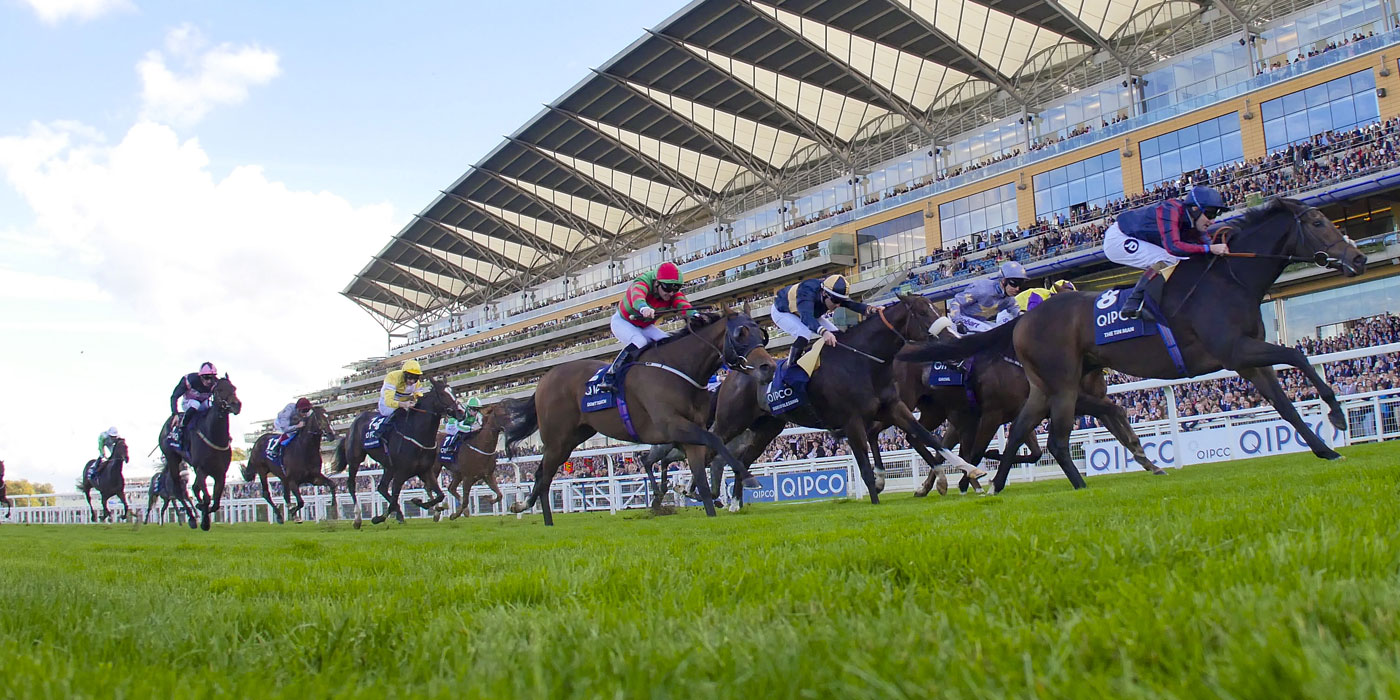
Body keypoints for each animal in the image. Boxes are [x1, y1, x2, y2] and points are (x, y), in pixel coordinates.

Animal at [157, 378, 242, 529]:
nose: (236, 405)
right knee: (179, 490)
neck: (213, 435)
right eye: (219, 390)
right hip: (173, 459)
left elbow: (215, 502)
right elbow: (207, 498)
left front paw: (203, 512)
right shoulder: (201, 469)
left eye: (234, 388)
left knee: (194, 488)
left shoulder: (220, 473)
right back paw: (191, 518)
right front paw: (204, 519)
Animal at [331, 378, 464, 526]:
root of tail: (352, 425)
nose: (461, 412)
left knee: (382, 487)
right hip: (355, 459)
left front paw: (421, 503)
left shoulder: (425, 470)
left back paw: (400, 515)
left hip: (388, 467)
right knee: (351, 484)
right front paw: (379, 517)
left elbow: (440, 495)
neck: (416, 434)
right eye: (442, 394)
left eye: (453, 392)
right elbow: (395, 497)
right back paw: (358, 518)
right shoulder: (401, 472)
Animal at [501, 306, 772, 526]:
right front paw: (748, 477)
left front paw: (705, 505)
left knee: (541, 475)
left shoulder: (690, 433)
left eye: (762, 334)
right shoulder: (673, 427)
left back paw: (524, 506)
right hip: (557, 440)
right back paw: (545, 520)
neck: (680, 369)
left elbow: (703, 480)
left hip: (571, 439)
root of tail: (543, 380)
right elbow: (715, 442)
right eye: (740, 334)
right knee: (545, 478)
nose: (767, 367)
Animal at [896, 197, 1366, 492]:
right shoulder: (1235, 351)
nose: (1359, 258)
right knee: (1049, 441)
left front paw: (1326, 449)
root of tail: (1025, 321)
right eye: (1319, 223)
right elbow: (1298, 354)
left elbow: (1285, 404)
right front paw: (1337, 415)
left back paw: (990, 484)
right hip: (1057, 386)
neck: (1227, 281)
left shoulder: (1248, 360)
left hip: (1044, 387)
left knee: (1017, 434)